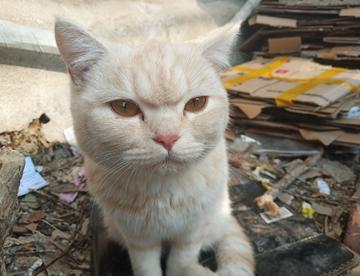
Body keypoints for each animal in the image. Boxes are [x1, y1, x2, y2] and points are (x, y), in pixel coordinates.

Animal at [53, 4, 258, 276]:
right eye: (124, 107)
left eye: (196, 103)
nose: (167, 138)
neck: (163, 193)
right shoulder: (137, 238)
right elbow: (146, 267)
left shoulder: (192, 230)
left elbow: (181, 261)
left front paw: (184, 269)